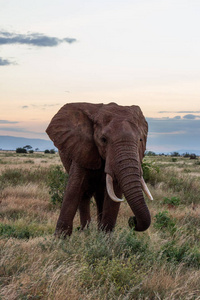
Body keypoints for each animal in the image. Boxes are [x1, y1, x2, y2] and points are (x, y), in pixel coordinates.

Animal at [46, 102, 152, 237]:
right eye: (103, 140)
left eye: (140, 140)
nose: (132, 220)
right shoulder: (82, 148)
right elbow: (74, 188)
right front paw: (59, 239)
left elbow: (114, 194)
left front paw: (104, 239)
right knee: (84, 195)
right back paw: (84, 231)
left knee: (99, 196)